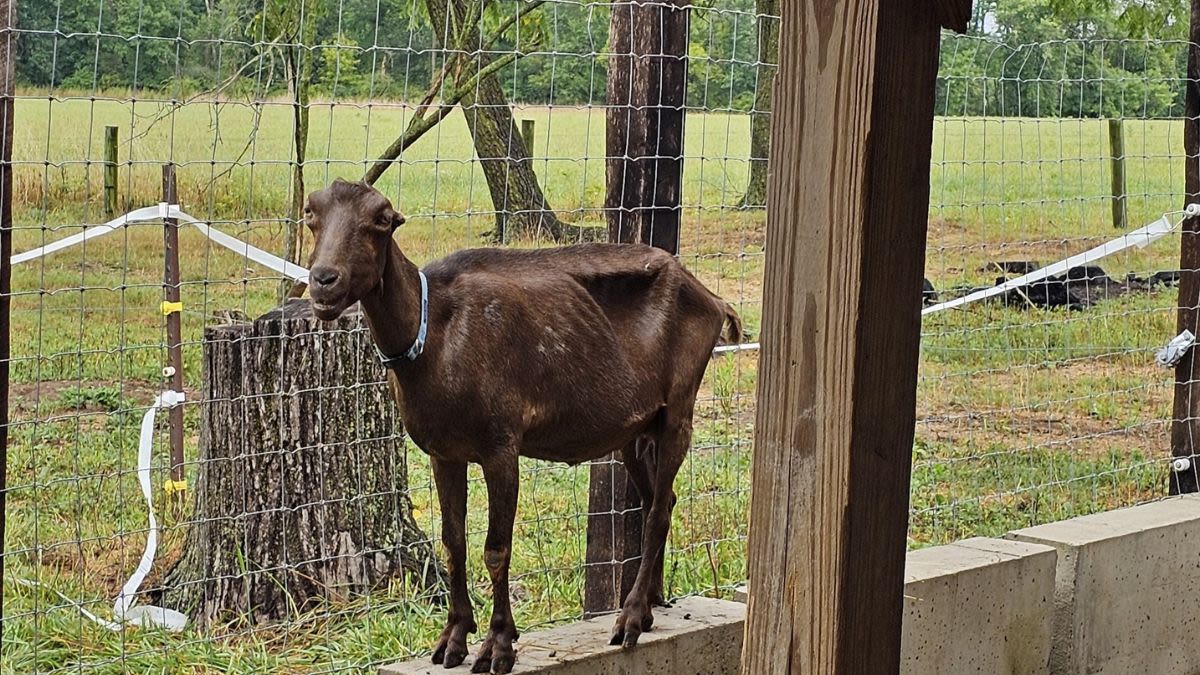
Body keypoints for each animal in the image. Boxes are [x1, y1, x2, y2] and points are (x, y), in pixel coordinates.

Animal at [300, 180, 739, 672]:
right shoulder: (443, 452)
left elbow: (497, 548)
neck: (434, 336)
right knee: (657, 503)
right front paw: (452, 639)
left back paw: (628, 618)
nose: (324, 280)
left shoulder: (501, 445)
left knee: (661, 507)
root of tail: (711, 298)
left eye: (380, 219)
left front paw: (498, 645)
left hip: (679, 410)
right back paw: (649, 606)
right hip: (634, 428)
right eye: (311, 214)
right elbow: (453, 540)